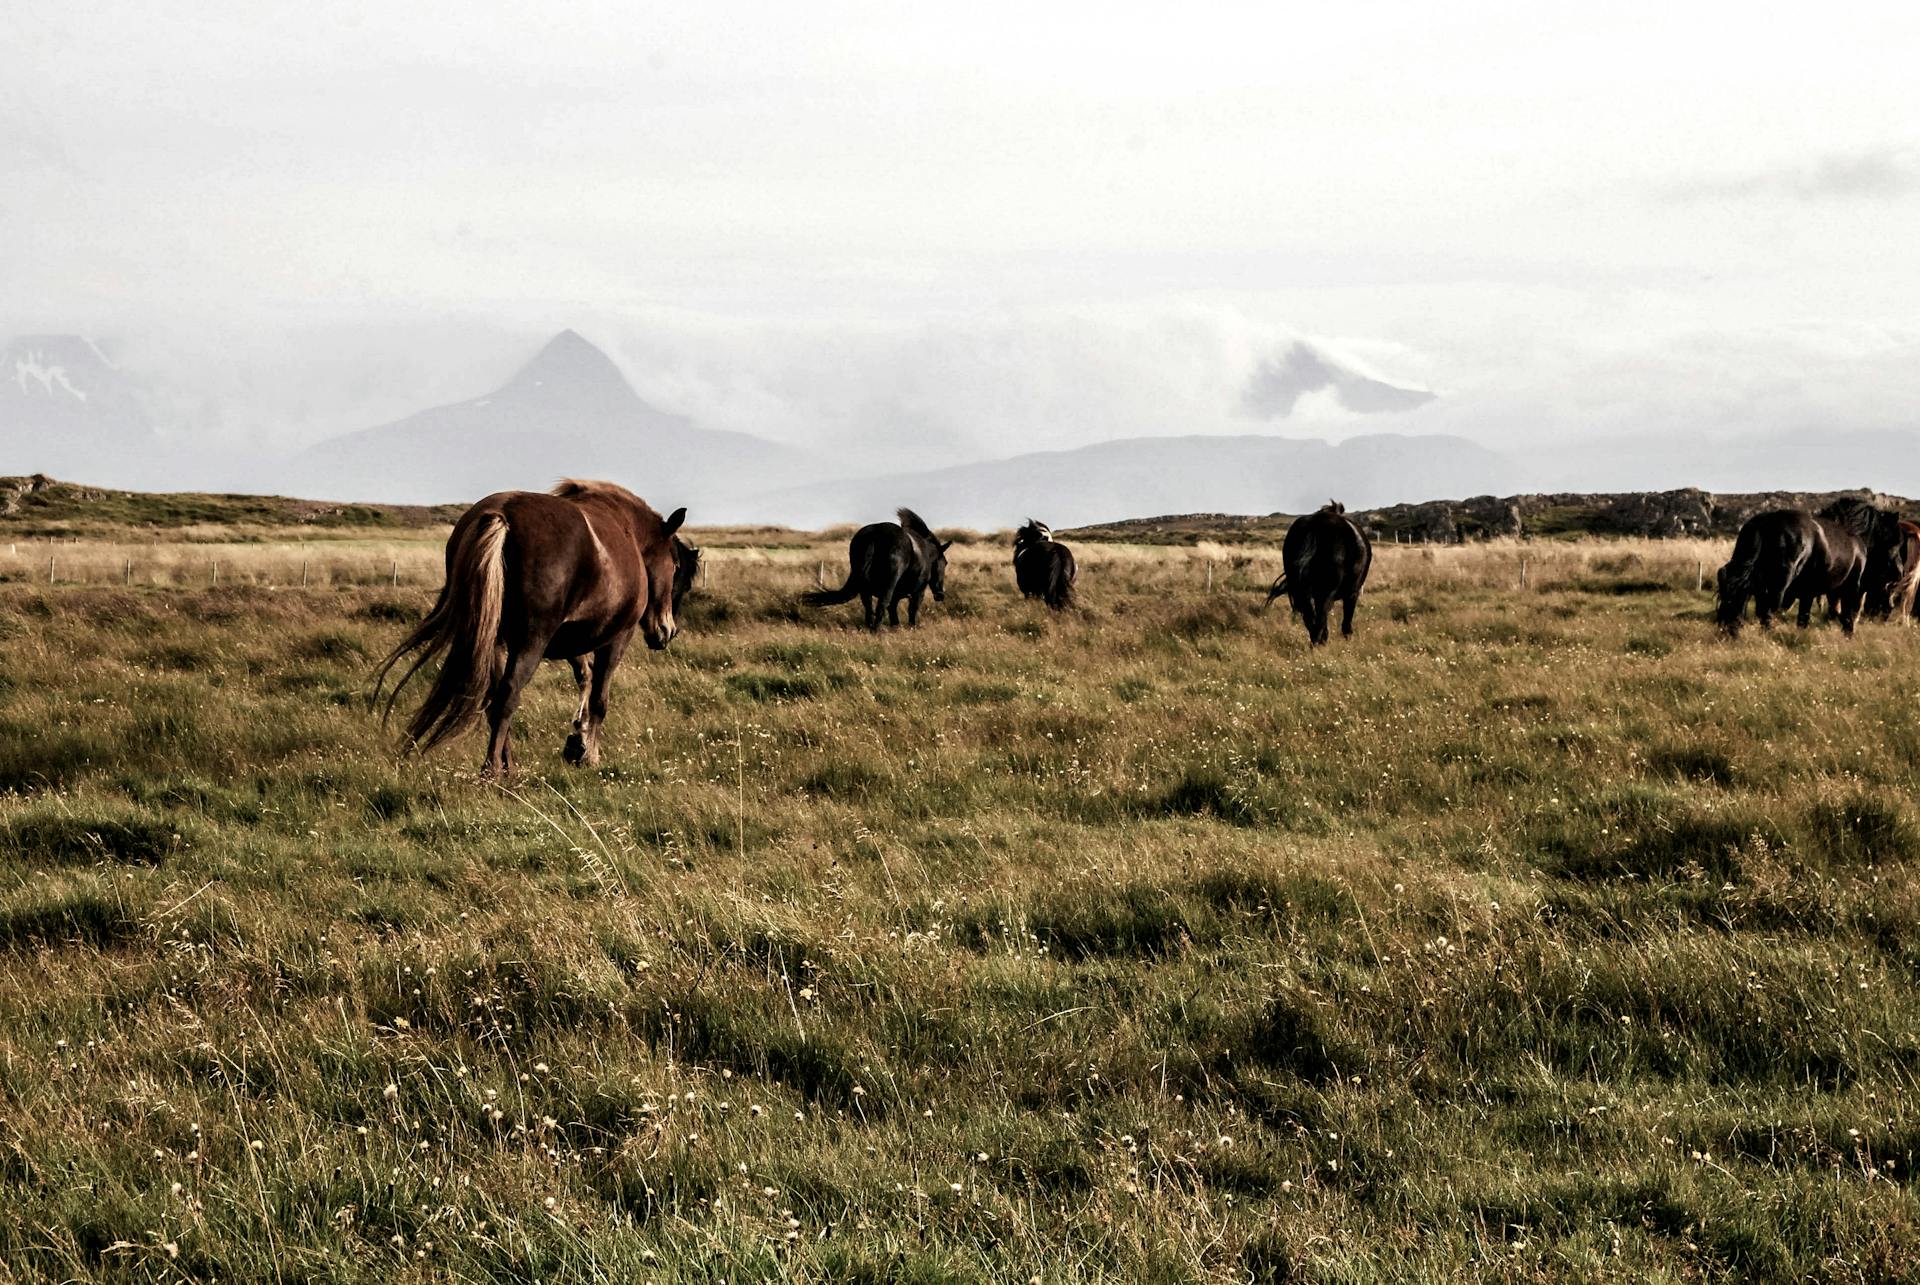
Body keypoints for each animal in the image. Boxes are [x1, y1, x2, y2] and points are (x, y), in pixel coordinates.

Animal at [366, 480, 691, 775]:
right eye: (675, 566)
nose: (667, 631)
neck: (628, 532)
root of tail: (502, 515)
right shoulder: (615, 639)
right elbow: (599, 698)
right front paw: (589, 754)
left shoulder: (569, 639)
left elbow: (584, 678)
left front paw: (577, 740)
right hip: (530, 641)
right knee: (507, 696)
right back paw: (493, 772)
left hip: (494, 640)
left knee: (493, 699)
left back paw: (508, 765)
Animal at [798, 503, 948, 630]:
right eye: (945, 563)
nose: (940, 595)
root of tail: (875, 534)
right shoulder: (918, 592)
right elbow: (911, 610)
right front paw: (911, 627)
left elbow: (893, 611)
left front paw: (896, 627)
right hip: (889, 584)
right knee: (882, 604)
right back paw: (877, 630)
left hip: (865, 587)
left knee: (868, 606)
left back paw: (870, 628)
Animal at [1267, 499, 1374, 645]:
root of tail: (1316, 525)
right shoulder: (1352, 593)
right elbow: (1346, 622)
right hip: (1327, 592)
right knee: (1320, 621)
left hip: (1302, 592)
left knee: (1310, 618)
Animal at [1712, 507, 1858, 637]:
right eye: (1722, 597)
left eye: (1735, 599)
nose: (1725, 630)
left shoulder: (1778, 588)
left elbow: (1767, 610)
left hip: (1849, 590)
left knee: (1847, 614)